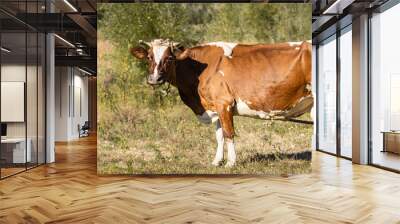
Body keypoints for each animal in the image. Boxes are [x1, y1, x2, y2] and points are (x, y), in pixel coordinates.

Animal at [131, 39, 312, 167]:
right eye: (149, 57)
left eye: (169, 58)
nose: (154, 79)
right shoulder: (215, 107)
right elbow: (219, 136)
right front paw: (217, 161)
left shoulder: (224, 103)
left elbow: (228, 133)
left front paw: (231, 163)